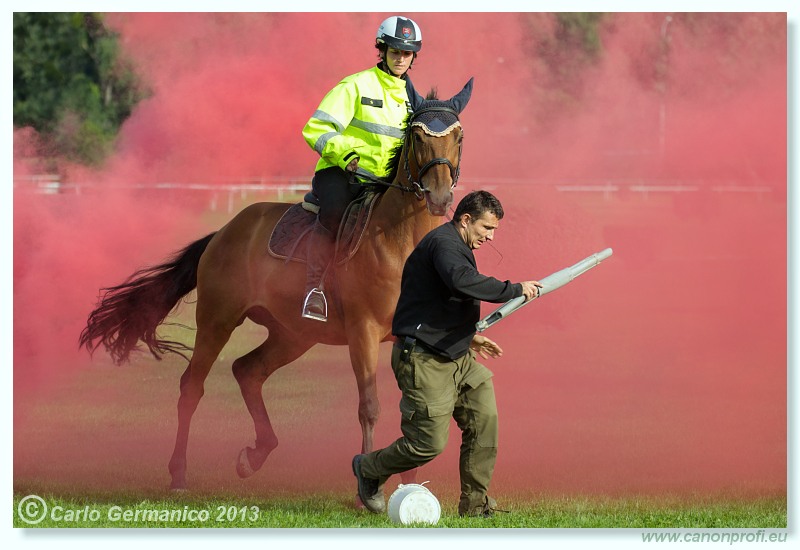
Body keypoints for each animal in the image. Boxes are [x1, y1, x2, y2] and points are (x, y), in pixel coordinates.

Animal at [78, 76, 472, 492]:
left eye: (458, 135)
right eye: (417, 134)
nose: (439, 195)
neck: (403, 246)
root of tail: (224, 232)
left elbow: (419, 412)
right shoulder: (363, 332)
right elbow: (369, 407)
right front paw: (367, 486)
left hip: (293, 334)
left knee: (247, 371)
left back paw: (254, 455)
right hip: (218, 321)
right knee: (192, 387)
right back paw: (179, 472)